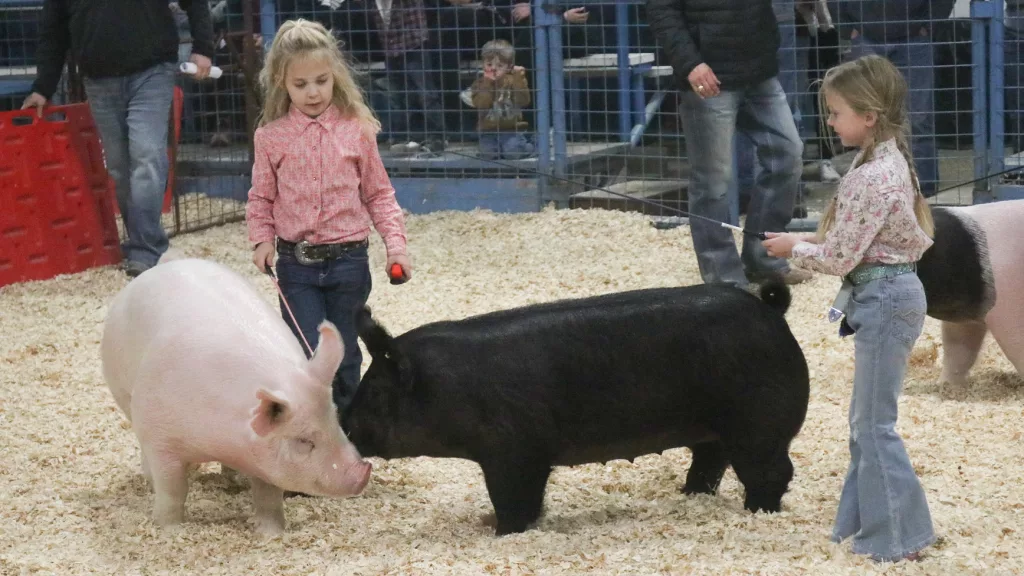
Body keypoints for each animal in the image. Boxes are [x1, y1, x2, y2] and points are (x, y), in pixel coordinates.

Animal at [98, 252, 372, 532]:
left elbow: (268, 494)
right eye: (304, 441)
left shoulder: (264, 459)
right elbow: (173, 489)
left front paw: (271, 533)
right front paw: (170, 530)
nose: (363, 471)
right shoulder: (159, 436)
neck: (221, 439)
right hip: (123, 393)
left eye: (335, 421)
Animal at [344, 280, 806, 532]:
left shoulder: (515, 451)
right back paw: (690, 495)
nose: (344, 424)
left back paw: (758, 512)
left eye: (375, 393)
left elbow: (514, 499)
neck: (445, 390)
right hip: (715, 430)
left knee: (773, 471)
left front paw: (501, 532)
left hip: (760, 424)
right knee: (711, 462)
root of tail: (772, 310)